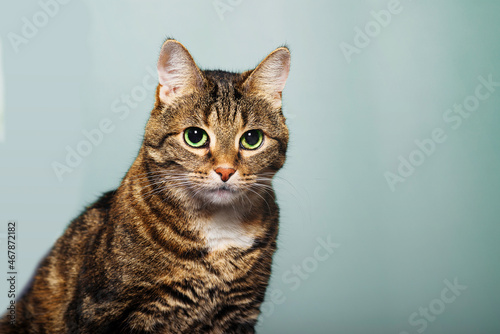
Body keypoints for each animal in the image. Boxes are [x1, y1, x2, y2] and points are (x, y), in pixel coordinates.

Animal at [0, 39, 292, 334]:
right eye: (195, 136)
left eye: (252, 139)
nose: (225, 171)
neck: (218, 232)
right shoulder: (104, 308)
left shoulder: (240, 311)